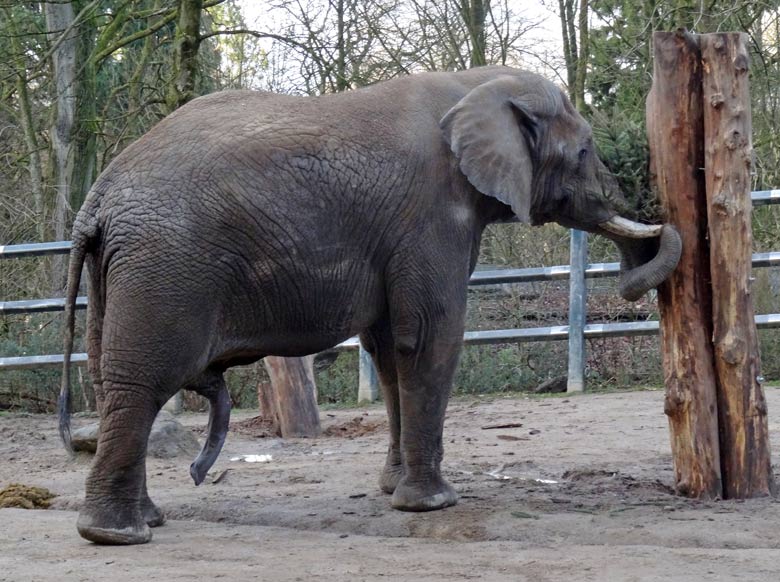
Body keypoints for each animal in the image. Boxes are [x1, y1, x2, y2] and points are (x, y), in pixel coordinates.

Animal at [59, 67, 684, 548]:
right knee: (143, 380)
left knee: (112, 379)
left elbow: (389, 352)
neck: (476, 82)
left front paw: (392, 489)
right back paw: (116, 535)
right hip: (166, 264)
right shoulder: (433, 214)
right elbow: (430, 337)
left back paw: (145, 520)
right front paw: (433, 504)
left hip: (120, 271)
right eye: (584, 151)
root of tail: (97, 198)